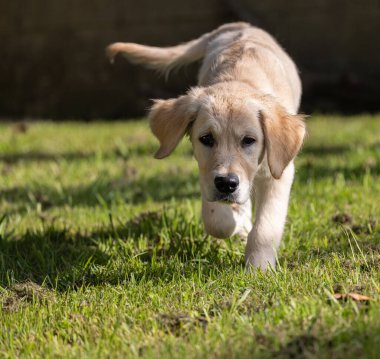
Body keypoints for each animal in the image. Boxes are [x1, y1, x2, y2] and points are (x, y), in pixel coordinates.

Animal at [107, 21, 306, 270]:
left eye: (249, 140)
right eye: (207, 139)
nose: (227, 184)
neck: (238, 80)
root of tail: (240, 25)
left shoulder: (278, 171)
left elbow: (265, 227)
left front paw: (258, 268)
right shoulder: (206, 172)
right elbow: (216, 220)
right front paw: (235, 223)